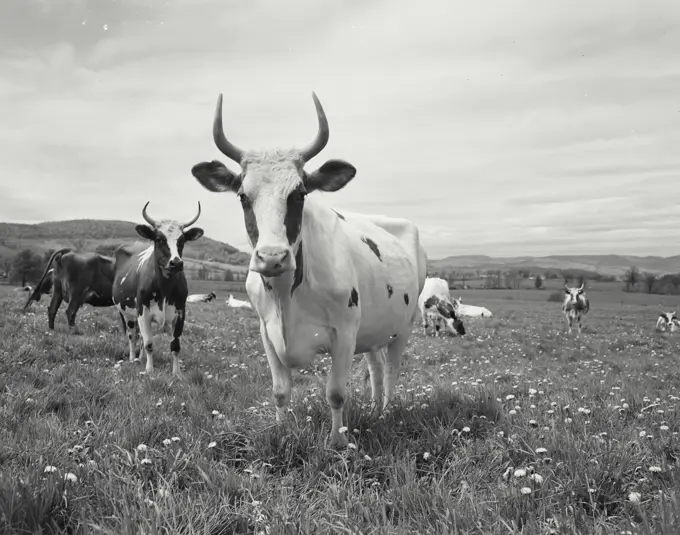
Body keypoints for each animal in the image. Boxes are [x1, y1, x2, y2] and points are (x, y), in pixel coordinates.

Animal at [110, 202, 202, 376]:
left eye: (182, 240)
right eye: (159, 239)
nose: (176, 263)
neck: (165, 289)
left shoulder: (180, 312)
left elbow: (175, 346)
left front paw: (176, 374)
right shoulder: (143, 311)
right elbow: (149, 343)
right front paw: (149, 370)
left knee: (140, 336)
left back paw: (139, 358)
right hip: (126, 313)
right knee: (132, 336)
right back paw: (132, 358)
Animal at [189, 91, 428, 448]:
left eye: (299, 193)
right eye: (243, 196)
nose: (272, 257)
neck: (287, 298)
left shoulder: (344, 333)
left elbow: (336, 393)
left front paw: (338, 442)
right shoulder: (267, 332)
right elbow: (279, 391)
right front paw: (282, 432)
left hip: (405, 324)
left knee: (391, 371)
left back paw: (385, 412)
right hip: (372, 327)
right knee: (375, 366)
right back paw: (374, 410)